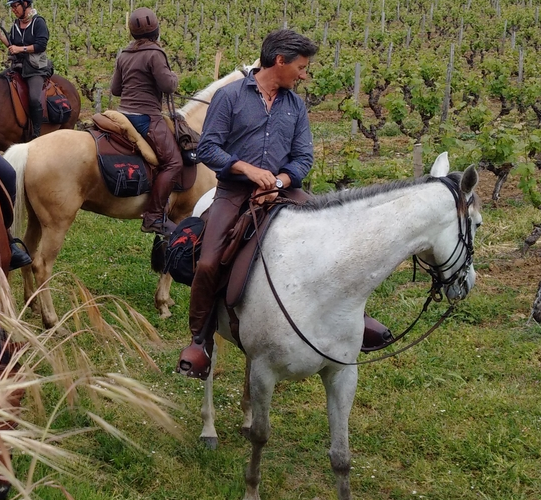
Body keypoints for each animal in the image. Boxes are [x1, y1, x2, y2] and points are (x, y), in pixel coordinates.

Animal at [188, 152, 478, 500]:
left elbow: (341, 456)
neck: (322, 280)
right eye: (477, 224)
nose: (468, 283)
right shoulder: (265, 371)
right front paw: (251, 490)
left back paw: (244, 415)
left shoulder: (341, 374)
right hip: (213, 326)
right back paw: (208, 428)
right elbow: (261, 436)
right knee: (209, 361)